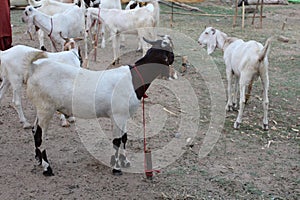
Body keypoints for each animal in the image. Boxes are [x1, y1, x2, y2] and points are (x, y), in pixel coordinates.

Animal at [24, 36, 175, 177]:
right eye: (168, 50)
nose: (174, 58)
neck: (133, 79)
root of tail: (35, 69)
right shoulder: (118, 115)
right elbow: (117, 140)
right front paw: (116, 168)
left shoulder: (123, 115)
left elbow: (124, 137)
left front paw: (124, 161)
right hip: (46, 109)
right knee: (40, 136)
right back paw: (47, 168)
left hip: (41, 108)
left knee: (34, 130)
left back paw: (38, 160)